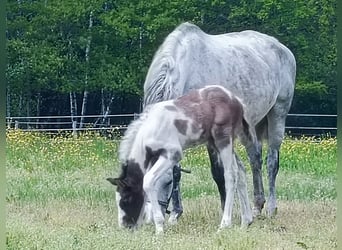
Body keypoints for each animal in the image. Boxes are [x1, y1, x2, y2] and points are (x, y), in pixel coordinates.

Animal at [107, 85, 254, 233]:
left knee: (230, 175)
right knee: (241, 171)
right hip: (215, 143)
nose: (125, 226)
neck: (151, 129)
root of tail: (237, 101)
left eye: (125, 199)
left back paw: (225, 224)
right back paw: (245, 221)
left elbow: (148, 181)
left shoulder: (173, 154)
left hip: (223, 140)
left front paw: (159, 228)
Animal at [143, 23, 296, 219]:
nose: (153, 216)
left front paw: (224, 209)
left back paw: (270, 208)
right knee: (255, 159)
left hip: (278, 114)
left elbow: (217, 172)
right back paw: (257, 205)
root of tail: (281, 47)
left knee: (272, 163)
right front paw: (176, 213)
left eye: (167, 183)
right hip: (252, 123)